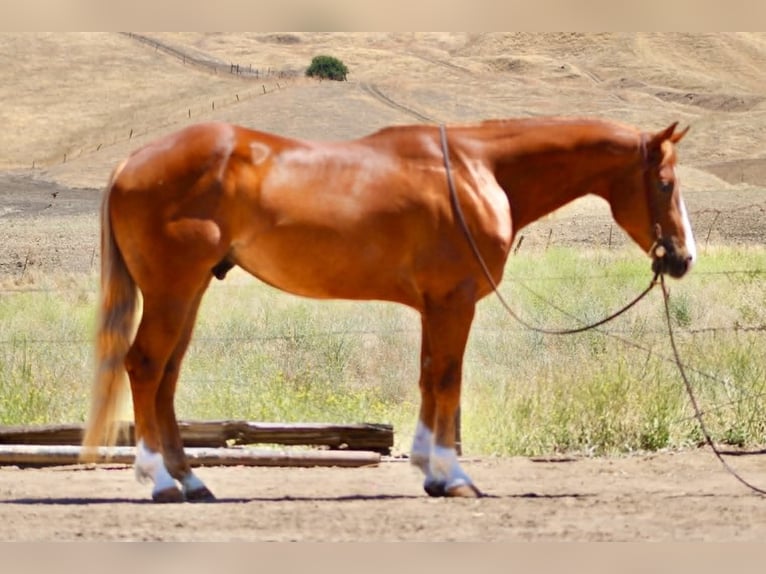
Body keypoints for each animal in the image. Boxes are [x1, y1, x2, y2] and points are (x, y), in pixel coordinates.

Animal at [81, 117, 695, 501]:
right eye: (665, 183)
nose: (682, 257)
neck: (478, 172)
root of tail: (131, 162)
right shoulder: (453, 302)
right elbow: (447, 379)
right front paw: (452, 476)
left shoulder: (434, 307)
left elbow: (428, 379)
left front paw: (429, 471)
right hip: (172, 291)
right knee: (144, 367)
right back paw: (162, 482)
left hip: (189, 294)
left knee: (166, 378)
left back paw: (191, 481)